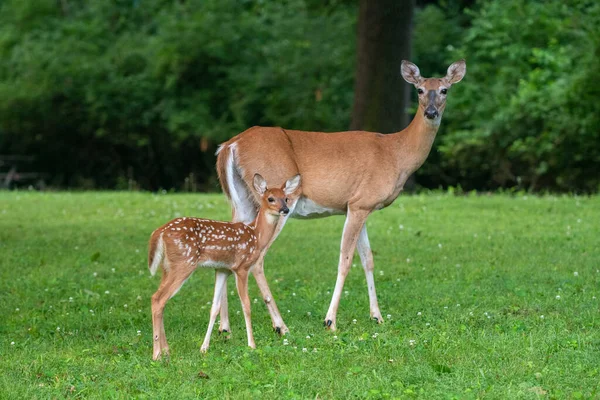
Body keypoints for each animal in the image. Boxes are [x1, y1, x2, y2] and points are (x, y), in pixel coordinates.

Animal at [149, 173, 298, 358]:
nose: (285, 210)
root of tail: (160, 231)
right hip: (183, 263)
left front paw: (204, 347)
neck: (256, 235)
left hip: (167, 267)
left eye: (286, 198)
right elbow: (246, 304)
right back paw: (157, 354)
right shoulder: (241, 267)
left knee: (158, 299)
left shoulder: (222, 269)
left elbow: (215, 307)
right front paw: (252, 344)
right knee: (158, 299)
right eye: (270, 198)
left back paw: (166, 350)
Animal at [214, 58, 464, 332]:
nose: (431, 112)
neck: (397, 153)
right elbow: (345, 260)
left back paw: (225, 327)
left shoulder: (358, 205)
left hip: (242, 200)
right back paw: (280, 325)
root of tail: (229, 145)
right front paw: (330, 320)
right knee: (258, 258)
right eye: (419, 90)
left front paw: (377, 316)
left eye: (444, 90)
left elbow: (368, 259)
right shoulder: (360, 203)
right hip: (278, 198)